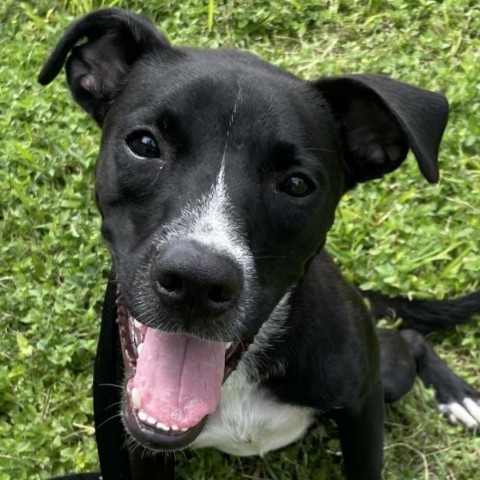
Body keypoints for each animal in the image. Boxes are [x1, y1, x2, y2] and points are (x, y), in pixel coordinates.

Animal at [38, 8, 480, 480]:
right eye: (143, 144)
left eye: (297, 184)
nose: (196, 282)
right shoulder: (129, 447)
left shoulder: (363, 411)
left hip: (386, 375)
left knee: (409, 338)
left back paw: (458, 396)